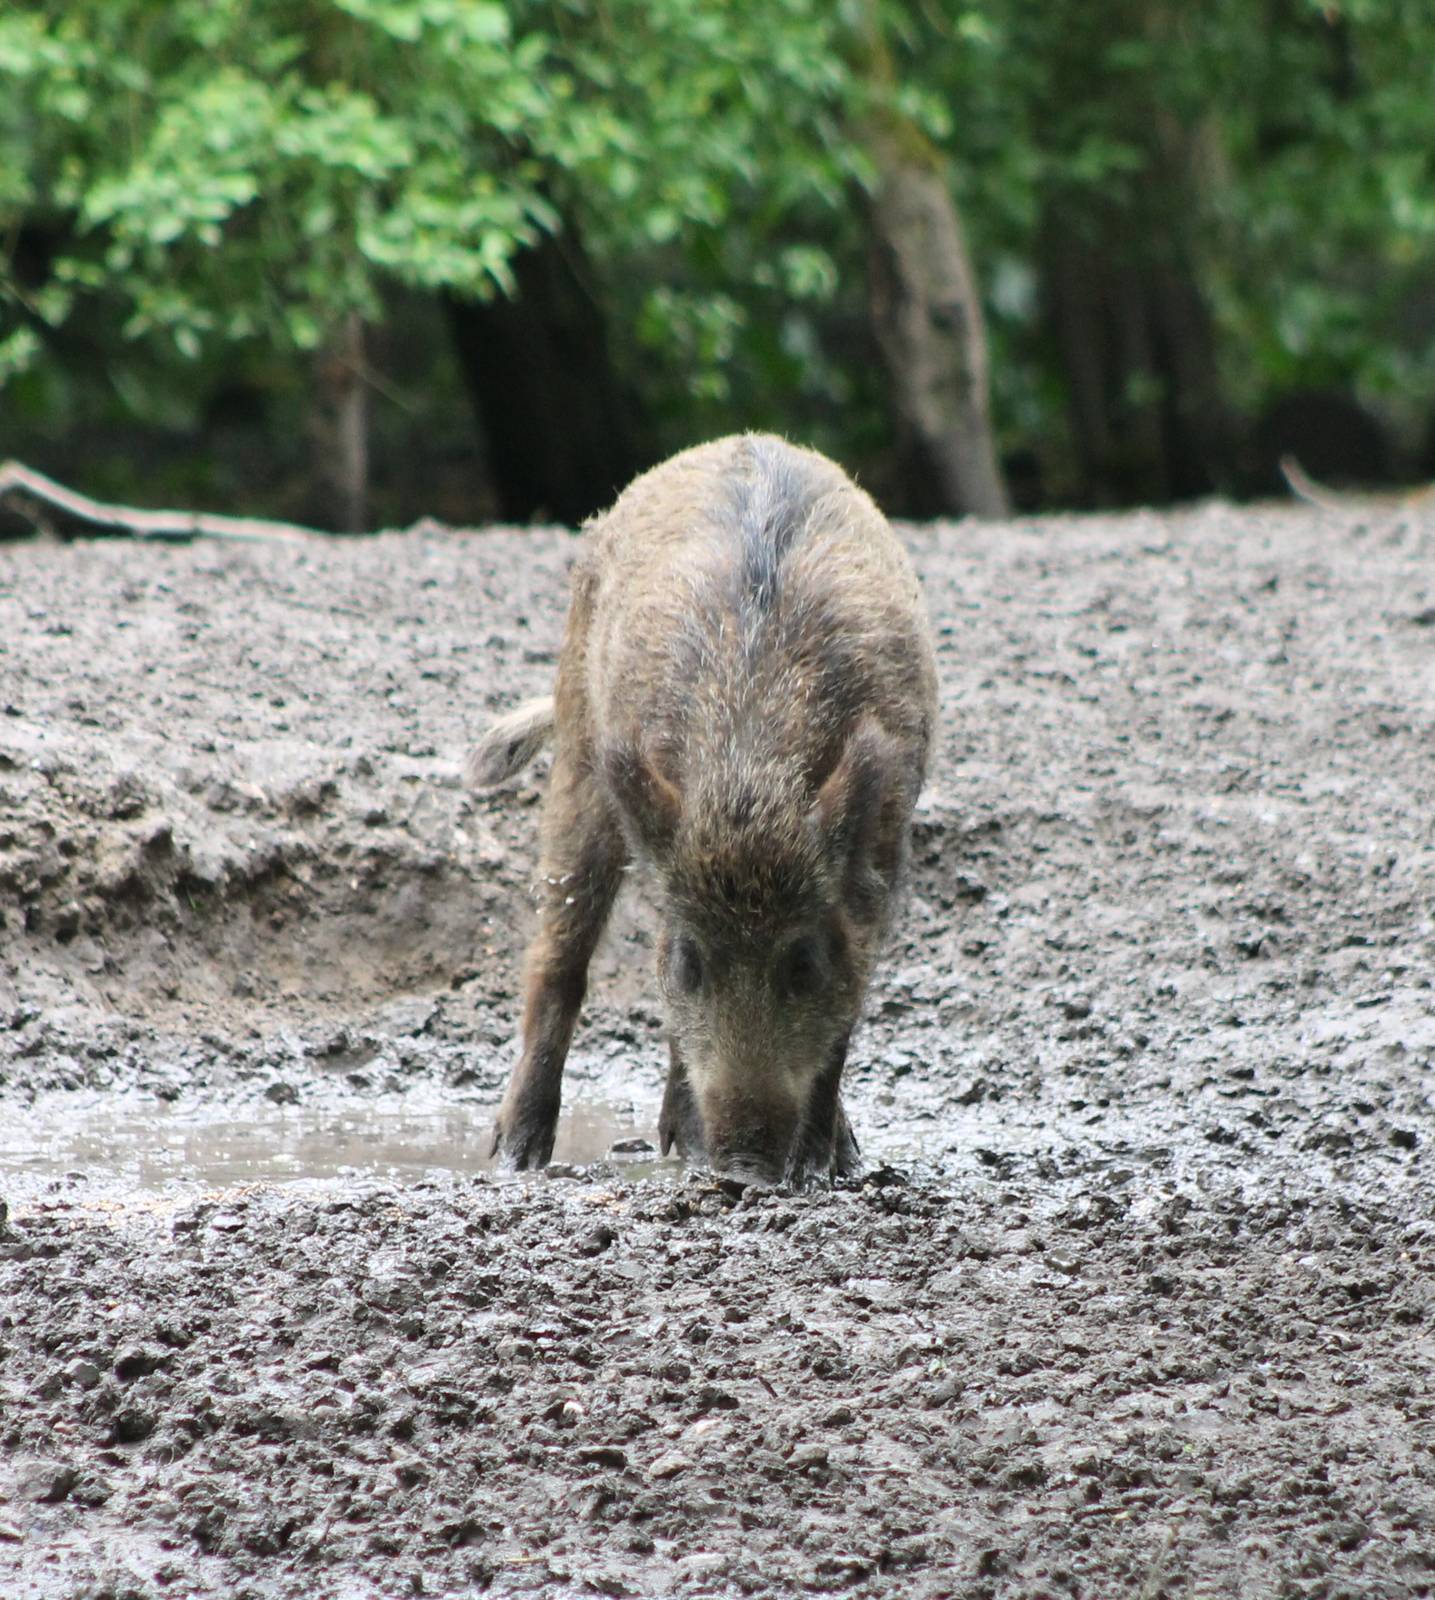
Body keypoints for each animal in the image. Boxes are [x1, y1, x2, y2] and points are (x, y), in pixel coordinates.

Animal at [468, 434, 937, 1186]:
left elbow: (844, 1015)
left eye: (803, 962)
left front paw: (825, 1167)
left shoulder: (879, 859)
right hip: (579, 756)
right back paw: (518, 1156)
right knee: (558, 956)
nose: (742, 1167)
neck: (748, 779)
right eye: (692, 962)